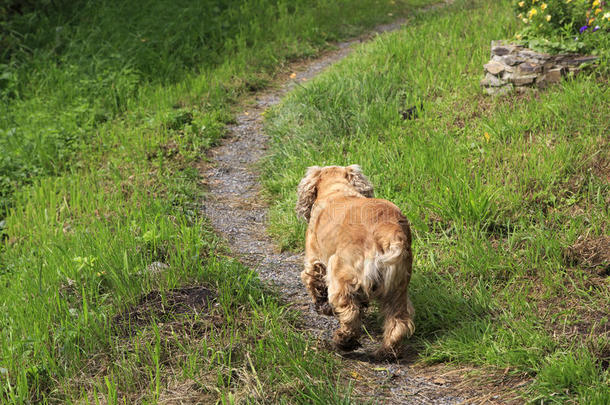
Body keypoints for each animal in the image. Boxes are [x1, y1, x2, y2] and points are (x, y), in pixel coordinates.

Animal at [294, 164, 414, 356]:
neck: (336, 189)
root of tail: (390, 233)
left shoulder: (314, 260)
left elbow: (315, 283)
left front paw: (321, 306)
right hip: (398, 287)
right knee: (398, 320)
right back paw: (387, 351)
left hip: (341, 272)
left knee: (350, 312)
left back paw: (344, 341)